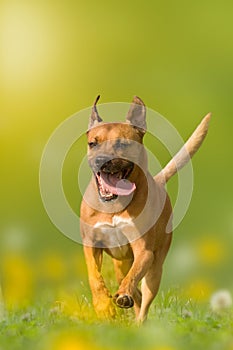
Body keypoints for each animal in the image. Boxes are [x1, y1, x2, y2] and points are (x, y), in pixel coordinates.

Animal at [80, 95, 211, 322]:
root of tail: (158, 181)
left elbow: (134, 277)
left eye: (122, 143)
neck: (115, 204)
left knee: (144, 296)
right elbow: (94, 275)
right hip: (121, 264)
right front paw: (103, 305)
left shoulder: (144, 251)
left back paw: (138, 319)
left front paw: (122, 296)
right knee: (135, 291)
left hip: (155, 268)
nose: (100, 160)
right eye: (92, 143)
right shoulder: (91, 243)